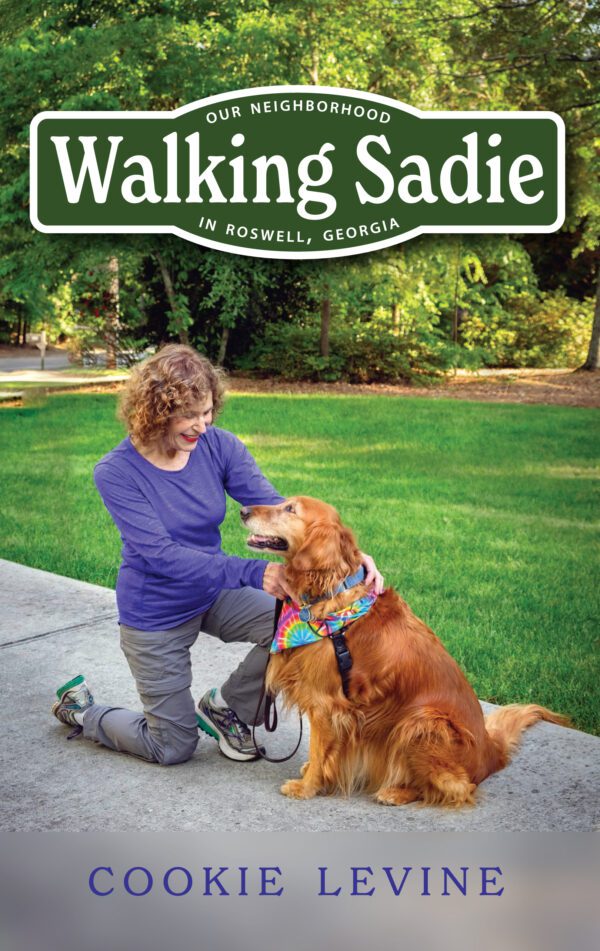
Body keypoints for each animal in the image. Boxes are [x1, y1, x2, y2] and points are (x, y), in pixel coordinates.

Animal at [241, 494, 568, 808]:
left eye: (290, 509)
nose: (243, 511)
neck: (332, 594)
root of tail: (492, 753)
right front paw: (314, 774)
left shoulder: (325, 703)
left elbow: (320, 748)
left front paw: (307, 786)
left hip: (421, 722)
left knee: (459, 787)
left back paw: (396, 792)